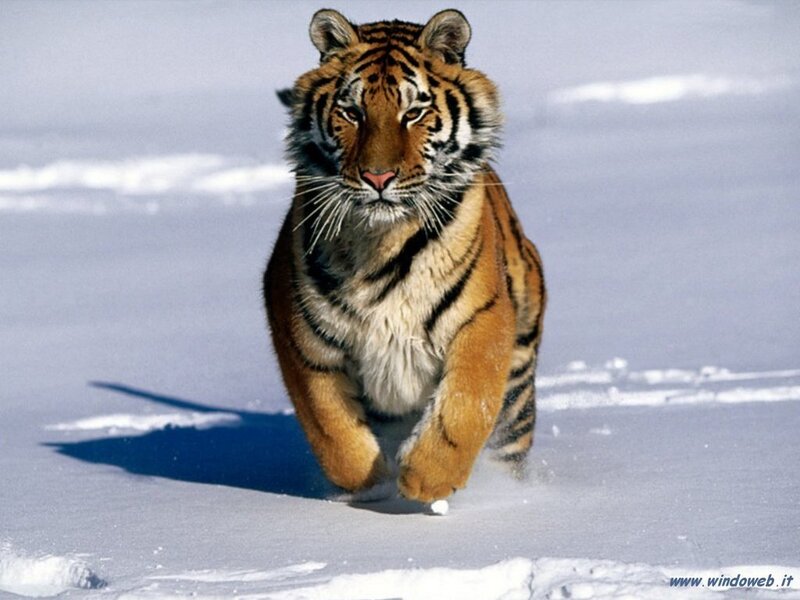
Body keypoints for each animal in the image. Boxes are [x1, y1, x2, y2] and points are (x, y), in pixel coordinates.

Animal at [264, 8, 545, 503]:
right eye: (351, 112)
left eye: (413, 112)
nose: (378, 177)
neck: (381, 241)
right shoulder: (301, 335)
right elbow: (330, 426)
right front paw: (370, 483)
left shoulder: (483, 318)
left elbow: (467, 403)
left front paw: (426, 478)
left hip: (518, 384)